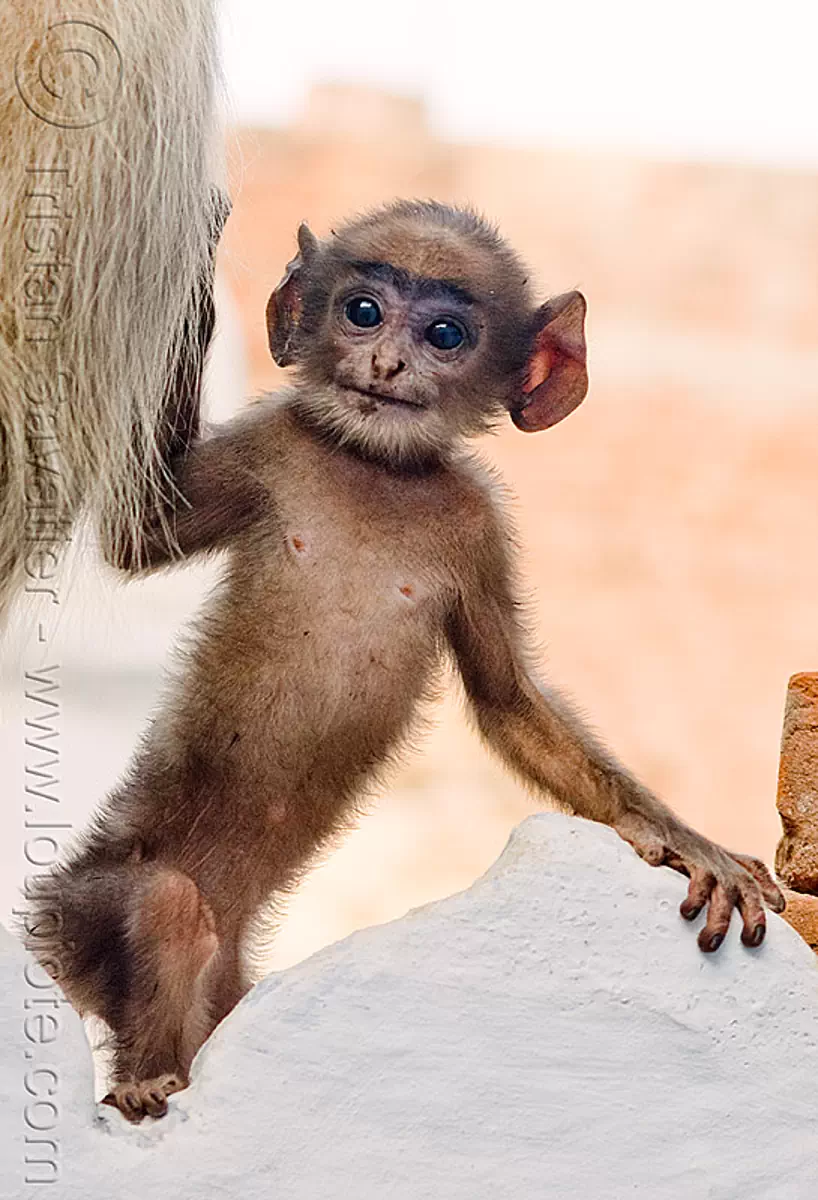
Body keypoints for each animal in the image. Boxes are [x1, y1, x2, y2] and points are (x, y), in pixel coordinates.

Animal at [22, 200, 785, 1123]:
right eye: (362, 311)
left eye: (445, 334)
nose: (385, 362)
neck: (376, 469)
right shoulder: (277, 444)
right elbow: (138, 531)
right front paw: (194, 253)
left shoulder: (478, 524)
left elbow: (507, 698)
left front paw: (678, 837)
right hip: (82, 909)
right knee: (163, 904)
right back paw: (140, 1083)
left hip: (222, 989)